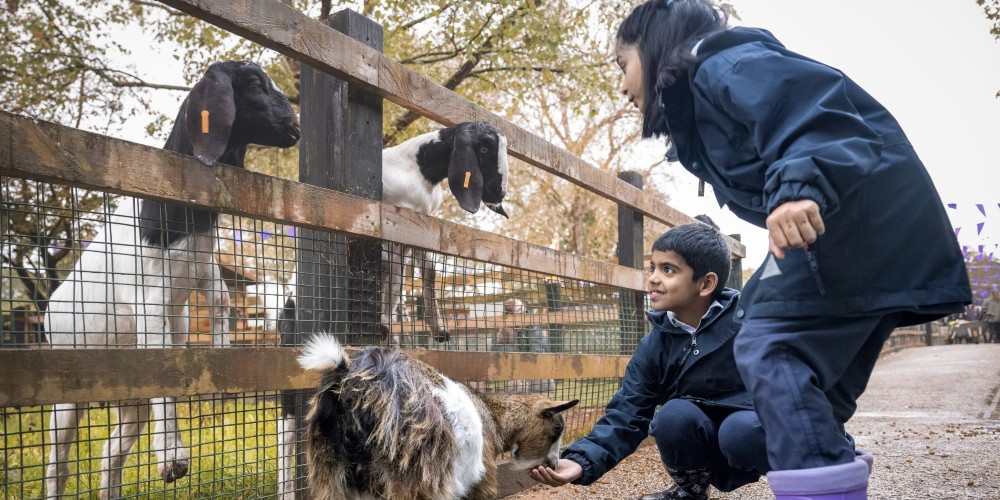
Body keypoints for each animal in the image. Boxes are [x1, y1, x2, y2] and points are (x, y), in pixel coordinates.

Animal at [44, 60, 300, 498]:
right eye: (252, 82)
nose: (294, 125)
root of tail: (50, 310)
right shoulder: (150, 301)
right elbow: (169, 365)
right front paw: (173, 461)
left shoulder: (200, 273)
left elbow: (222, 303)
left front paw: (222, 362)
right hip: (67, 380)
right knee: (57, 463)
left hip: (130, 396)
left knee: (111, 454)